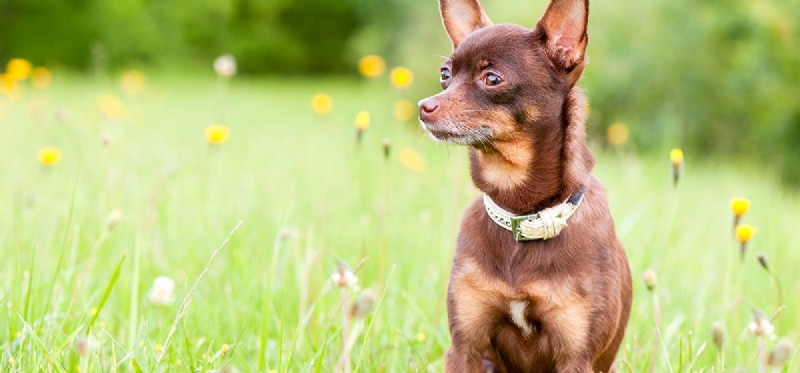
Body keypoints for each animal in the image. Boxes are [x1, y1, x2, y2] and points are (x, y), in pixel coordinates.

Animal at [416, 0, 636, 370]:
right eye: (445, 75)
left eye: (492, 79)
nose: (424, 107)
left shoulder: (576, 357)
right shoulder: (465, 347)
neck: (522, 214)